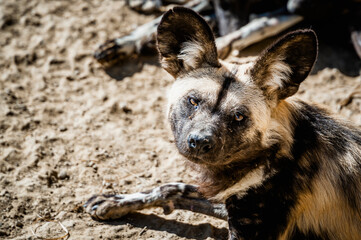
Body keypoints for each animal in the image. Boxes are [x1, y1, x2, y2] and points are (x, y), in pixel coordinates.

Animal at [84, 6, 360, 239]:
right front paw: (113, 201)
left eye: (238, 116)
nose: (199, 142)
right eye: (193, 101)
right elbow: (169, 188)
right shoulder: (223, 196)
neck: (272, 155)